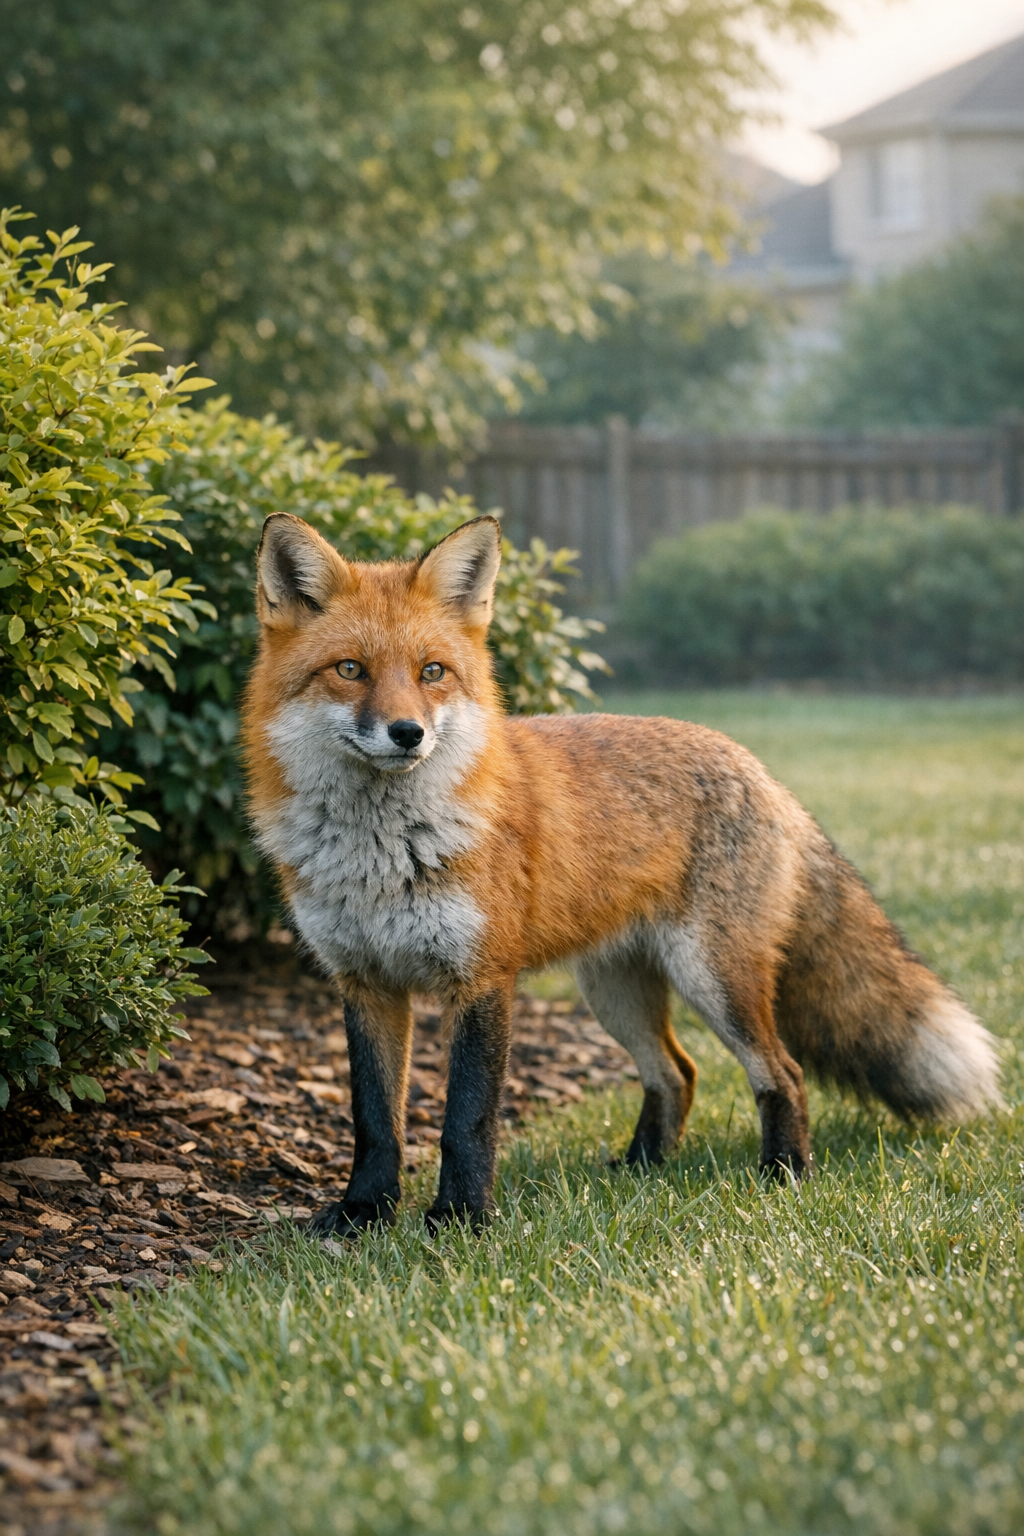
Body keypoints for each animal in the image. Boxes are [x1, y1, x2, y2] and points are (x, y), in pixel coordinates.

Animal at [241, 511, 1002, 1235]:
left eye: (432, 672)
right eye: (350, 670)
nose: (408, 734)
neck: (381, 853)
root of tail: (759, 769)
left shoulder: (482, 980)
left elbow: (468, 1120)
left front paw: (460, 1220)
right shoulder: (365, 983)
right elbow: (375, 1124)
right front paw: (362, 1216)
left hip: (713, 979)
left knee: (781, 1073)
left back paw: (783, 1173)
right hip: (614, 992)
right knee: (677, 1073)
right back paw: (642, 1167)